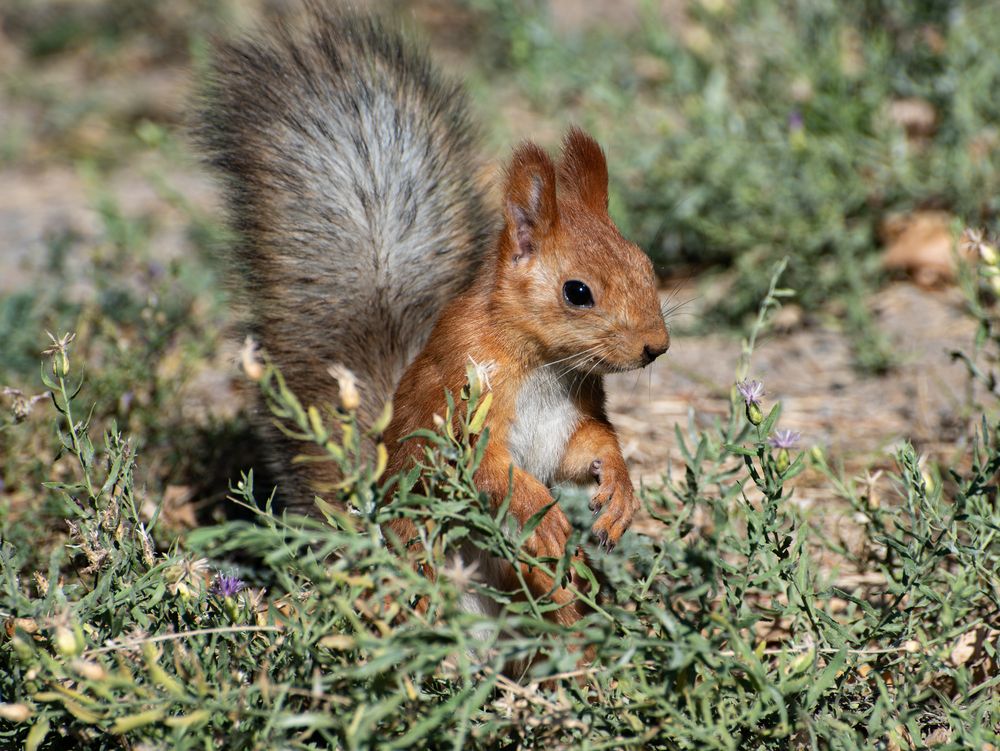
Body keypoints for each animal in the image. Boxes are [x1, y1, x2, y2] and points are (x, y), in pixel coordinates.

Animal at [196, 7, 669, 626]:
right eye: (577, 291)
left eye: (646, 263)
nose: (656, 346)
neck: (545, 365)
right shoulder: (461, 397)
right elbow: (490, 468)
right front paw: (544, 514)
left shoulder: (573, 414)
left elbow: (590, 447)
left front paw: (619, 491)